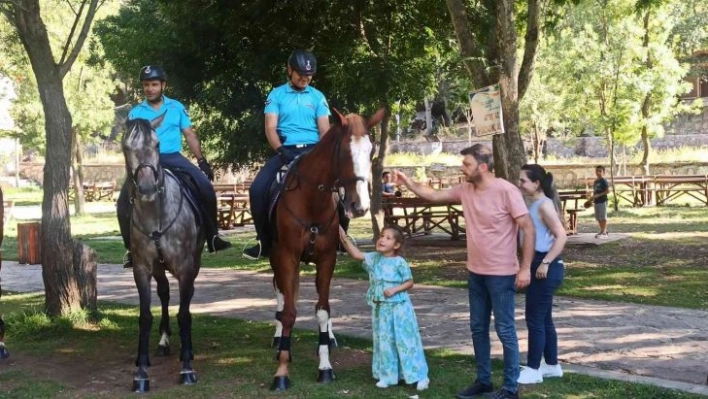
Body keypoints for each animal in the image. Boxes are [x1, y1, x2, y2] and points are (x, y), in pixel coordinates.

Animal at [121, 115, 203, 394]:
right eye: (126, 148)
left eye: (157, 145)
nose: (146, 188)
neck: (156, 215)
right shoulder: (142, 269)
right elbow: (145, 316)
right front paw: (141, 374)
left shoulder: (186, 268)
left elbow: (185, 314)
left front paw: (187, 368)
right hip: (158, 268)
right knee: (165, 293)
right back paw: (162, 343)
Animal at [268, 107, 384, 390]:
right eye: (343, 152)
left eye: (371, 151)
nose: (359, 206)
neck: (312, 200)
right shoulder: (286, 257)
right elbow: (289, 312)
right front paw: (282, 370)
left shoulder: (327, 258)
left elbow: (323, 311)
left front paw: (325, 366)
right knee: (281, 293)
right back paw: (279, 338)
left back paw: (329, 338)